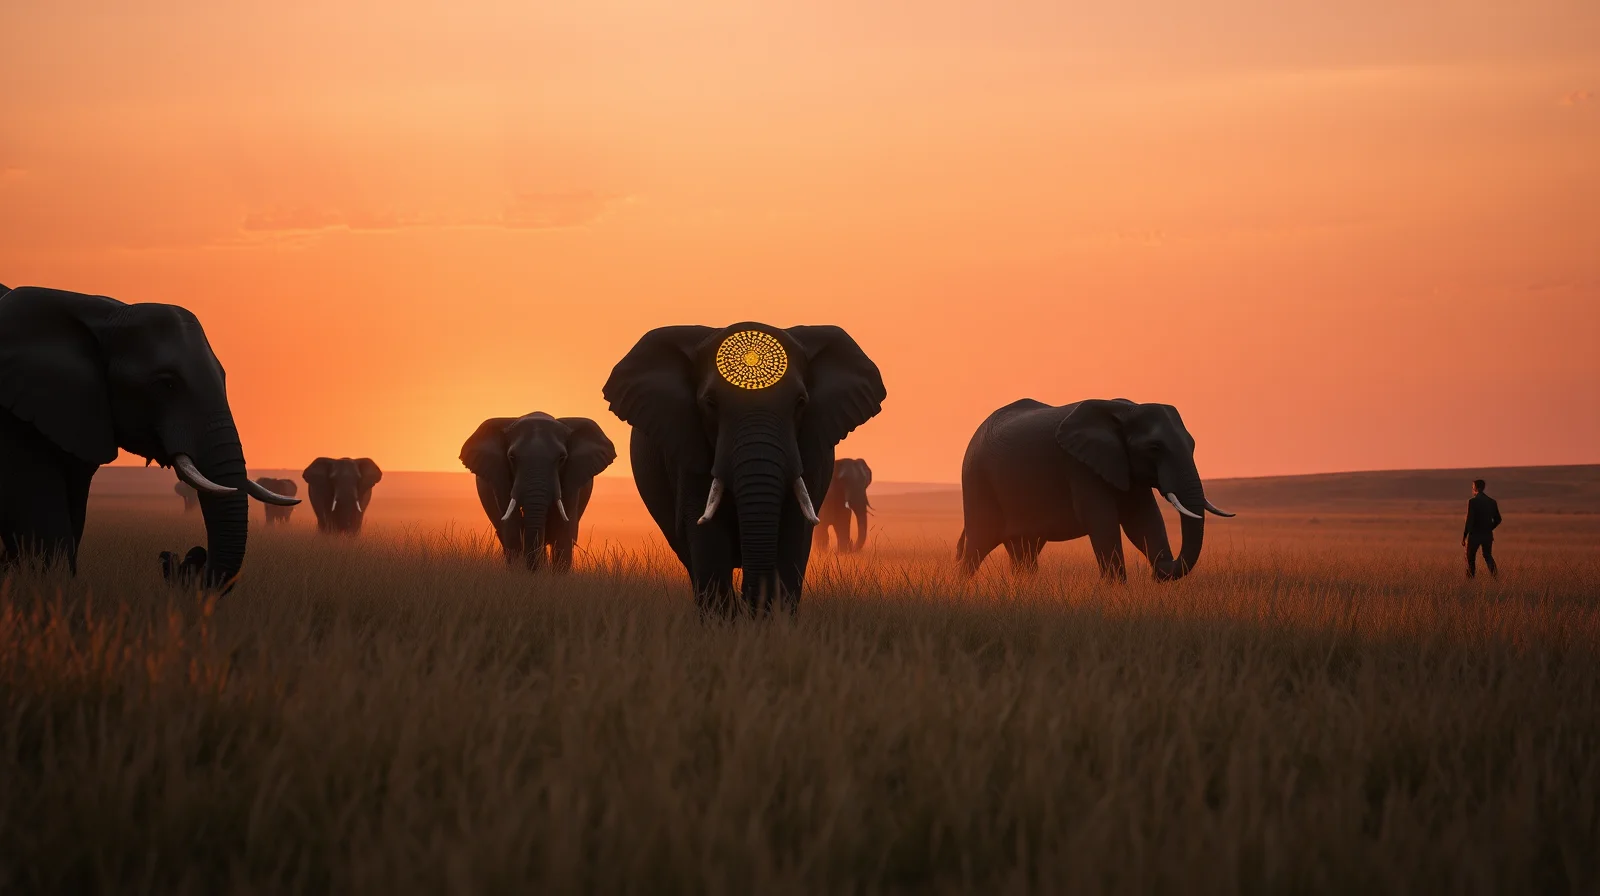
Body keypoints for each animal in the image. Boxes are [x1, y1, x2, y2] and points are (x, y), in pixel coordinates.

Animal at [459, 413, 617, 571]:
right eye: (511, 457)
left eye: (562, 458)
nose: (534, 571)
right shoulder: (499, 478)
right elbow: (512, 527)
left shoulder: (573, 479)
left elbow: (563, 531)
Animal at [603, 323, 886, 614]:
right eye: (710, 403)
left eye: (800, 402)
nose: (747, 600)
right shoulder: (686, 450)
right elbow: (707, 536)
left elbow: (794, 533)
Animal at [958, 398, 1234, 582]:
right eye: (1155, 447)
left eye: (1193, 444)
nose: (1159, 570)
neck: (1126, 410)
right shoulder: (1079, 466)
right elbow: (1102, 521)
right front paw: (1117, 593)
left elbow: (1144, 520)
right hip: (977, 478)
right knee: (978, 544)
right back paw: (964, 591)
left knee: (1024, 550)